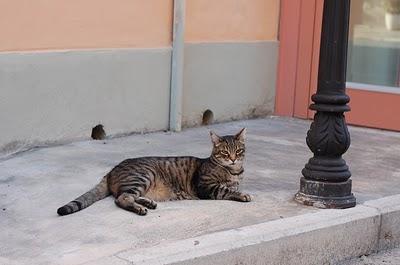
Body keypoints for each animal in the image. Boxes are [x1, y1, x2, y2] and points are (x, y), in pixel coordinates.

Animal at [57, 127, 250, 214]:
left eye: (238, 151)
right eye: (225, 152)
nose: (233, 158)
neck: (234, 172)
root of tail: (112, 170)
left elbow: (231, 188)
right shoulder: (206, 186)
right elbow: (225, 190)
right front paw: (243, 195)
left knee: (127, 195)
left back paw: (147, 203)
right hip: (143, 176)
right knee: (121, 198)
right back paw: (140, 209)